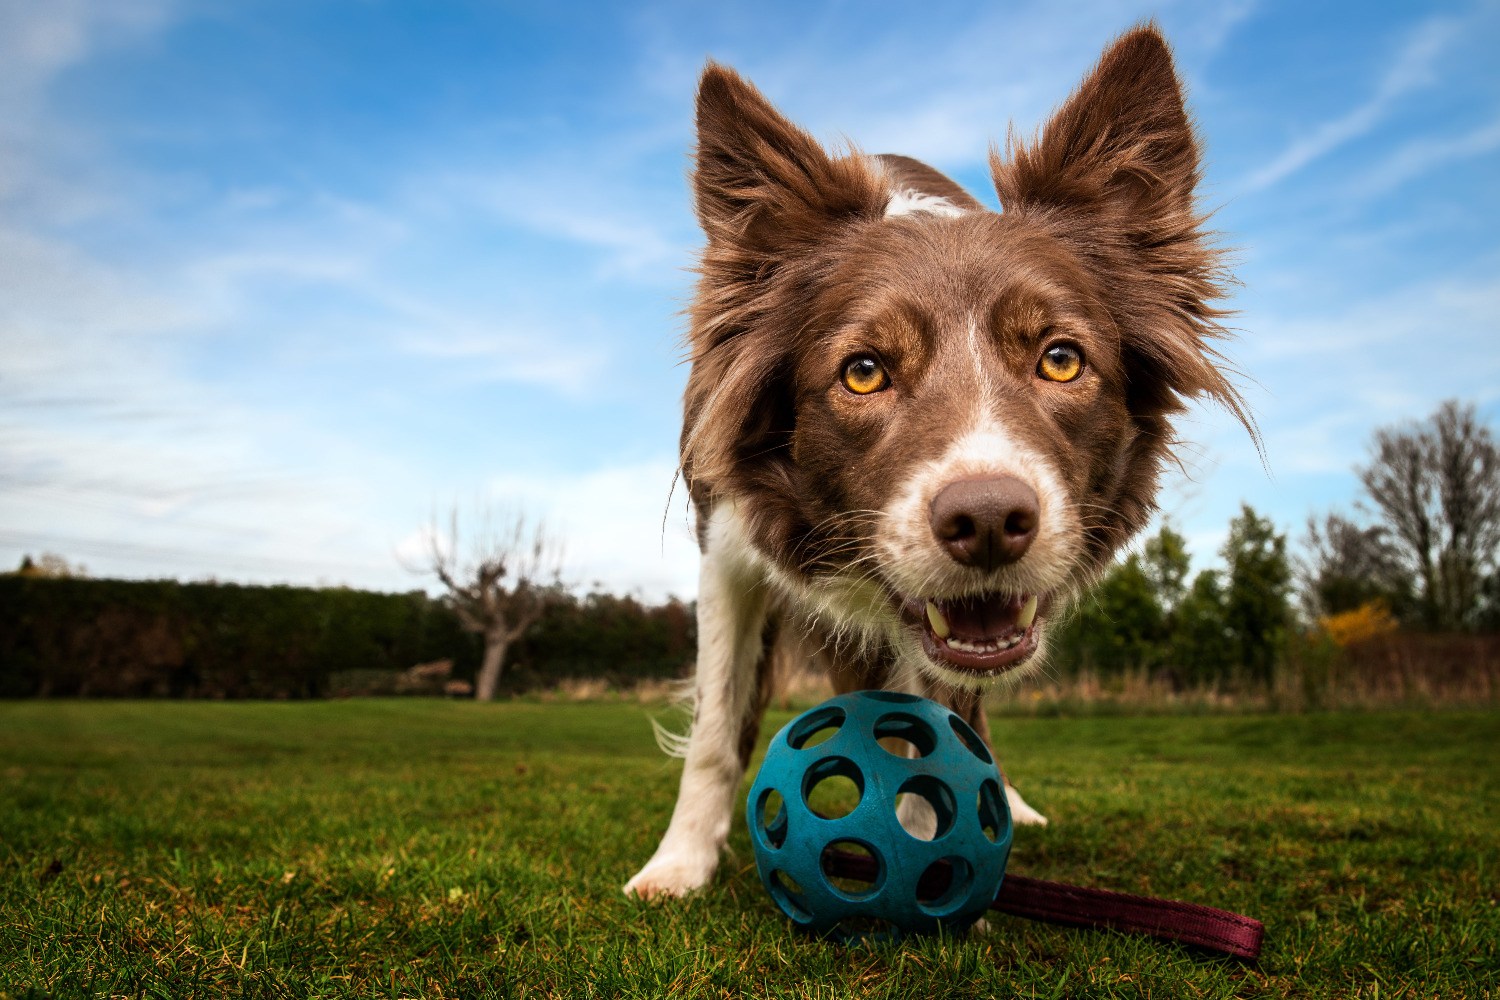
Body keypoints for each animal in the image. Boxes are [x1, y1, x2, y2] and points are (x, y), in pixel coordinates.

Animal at [627, 25, 1248, 899]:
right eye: (863, 371)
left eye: (1061, 360)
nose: (988, 522)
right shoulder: (729, 551)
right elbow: (717, 723)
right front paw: (678, 864)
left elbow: (943, 723)